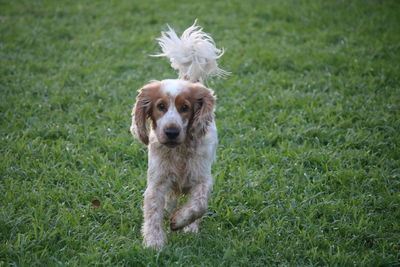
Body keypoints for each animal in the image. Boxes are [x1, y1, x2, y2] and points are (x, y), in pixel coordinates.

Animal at [130, 21, 228, 251]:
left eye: (185, 107)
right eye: (160, 106)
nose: (171, 132)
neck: (179, 151)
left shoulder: (202, 179)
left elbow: (199, 205)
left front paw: (180, 222)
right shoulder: (157, 183)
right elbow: (153, 213)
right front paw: (154, 243)